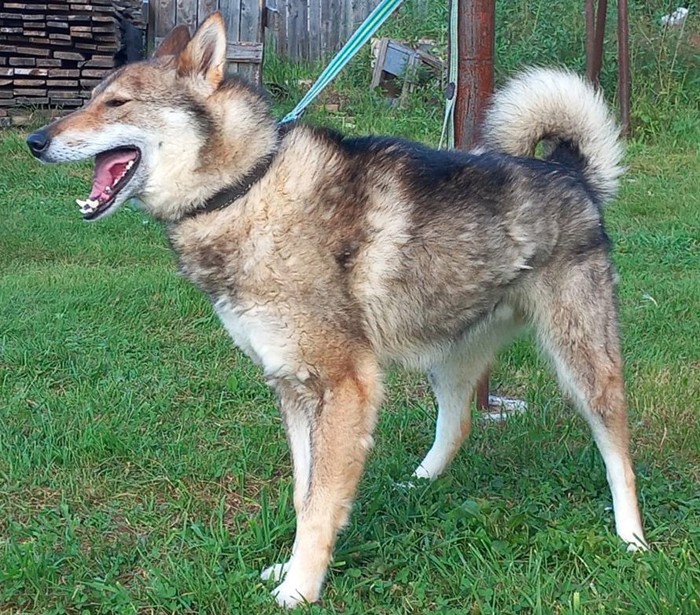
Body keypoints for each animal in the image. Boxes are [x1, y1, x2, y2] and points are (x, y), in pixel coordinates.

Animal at [27, 12, 647, 608]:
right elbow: (305, 496)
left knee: (617, 450)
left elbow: (321, 501)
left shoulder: (344, 385)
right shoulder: (293, 387)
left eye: (117, 103)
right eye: (90, 97)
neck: (247, 188)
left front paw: (300, 589)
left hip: (584, 364)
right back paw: (418, 482)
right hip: (446, 356)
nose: (33, 140)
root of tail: (568, 170)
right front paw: (290, 569)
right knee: (459, 421)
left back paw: (632, 538)